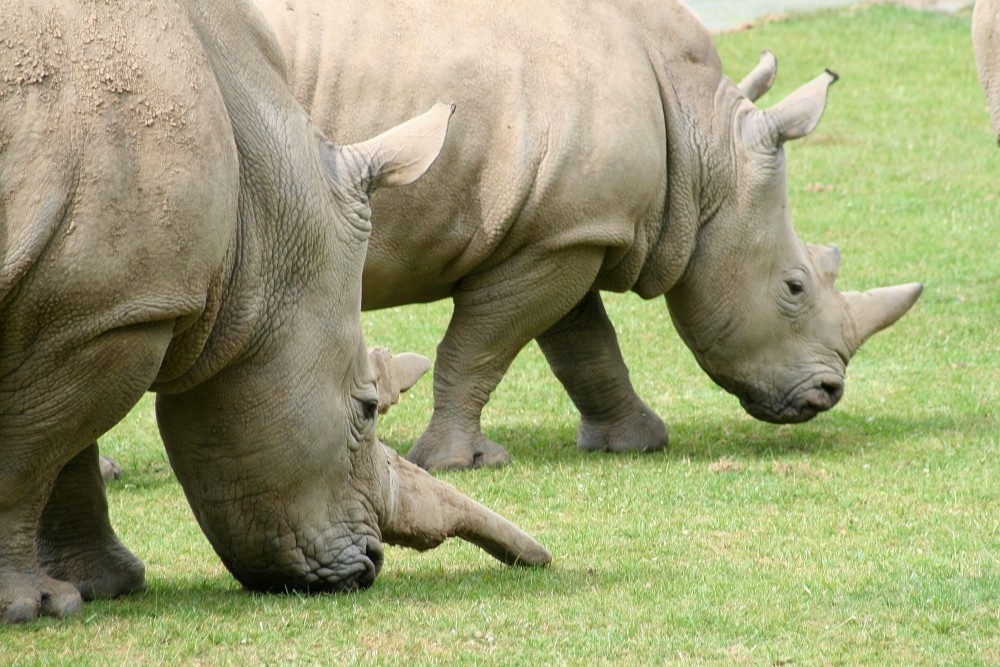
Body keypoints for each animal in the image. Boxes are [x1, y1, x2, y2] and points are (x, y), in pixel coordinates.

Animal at [0, 0, 550, 625]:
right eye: (366, 410)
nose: (370, 566)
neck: (259, 213)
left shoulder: (91, 311)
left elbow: (63, 456)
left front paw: (101, 589)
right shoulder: (110, 310)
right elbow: (31, 458)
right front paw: (29, 606)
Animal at [255, 0, 923, 471]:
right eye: (794, 287)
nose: (827, 394)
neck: (704, 145)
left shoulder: (565, 229)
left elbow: (584, 344)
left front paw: (637, 443)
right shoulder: (559, 238)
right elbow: (481, 347)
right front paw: (461, 464)